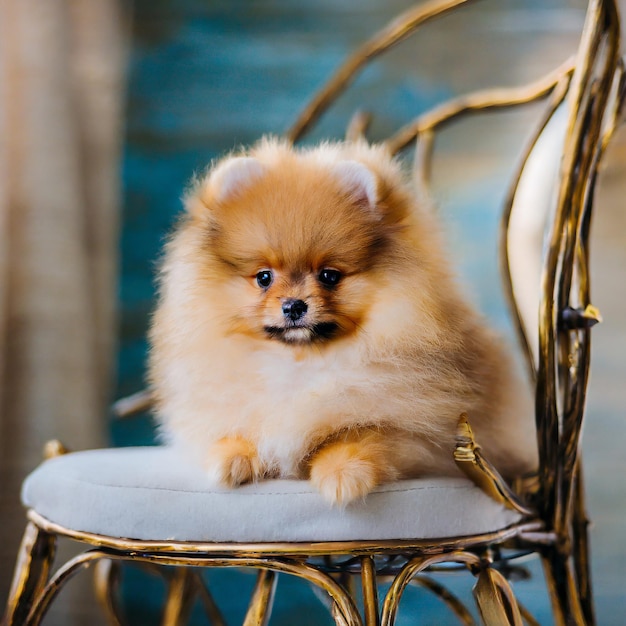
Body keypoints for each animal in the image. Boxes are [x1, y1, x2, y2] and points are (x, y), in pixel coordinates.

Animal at [150, 136, 536, 502]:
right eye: (263, 277)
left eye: (329, 276)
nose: (293, 306)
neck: (301, 363)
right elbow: (238, 428)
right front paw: (231, 457)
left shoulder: (421, 430)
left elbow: (364, 433)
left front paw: (341, 472)